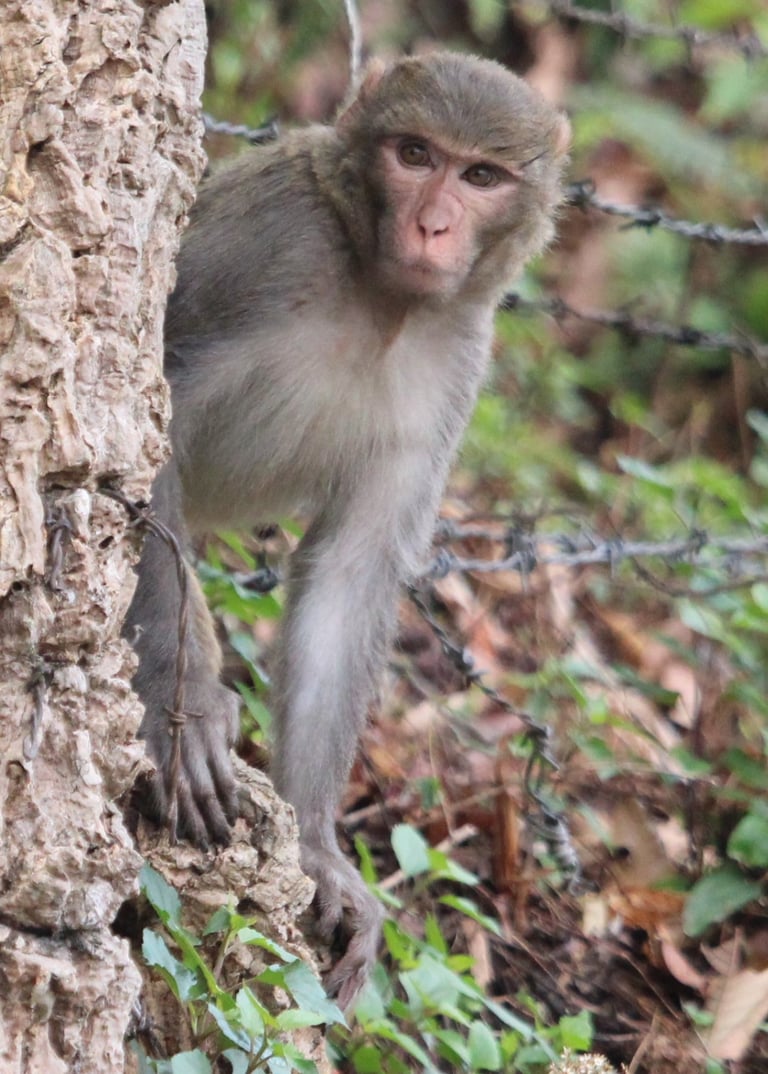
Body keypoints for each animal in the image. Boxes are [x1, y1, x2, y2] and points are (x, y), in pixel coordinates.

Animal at [126, 51, 570, 1008]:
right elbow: (154, 424)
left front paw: (318, 851)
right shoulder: (267, 248)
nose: (434, 224)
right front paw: (190, 704)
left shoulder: (458, 359)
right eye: (415, 154)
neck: (381, 298)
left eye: (482, 177)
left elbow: (349, 573)